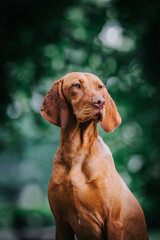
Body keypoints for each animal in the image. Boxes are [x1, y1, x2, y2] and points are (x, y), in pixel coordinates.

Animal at [40, 72, 149, 240]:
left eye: (100, 86)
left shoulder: (113, 221)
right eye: (77, 85)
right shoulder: (60, 223)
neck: (77, 151)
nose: (100, 102)